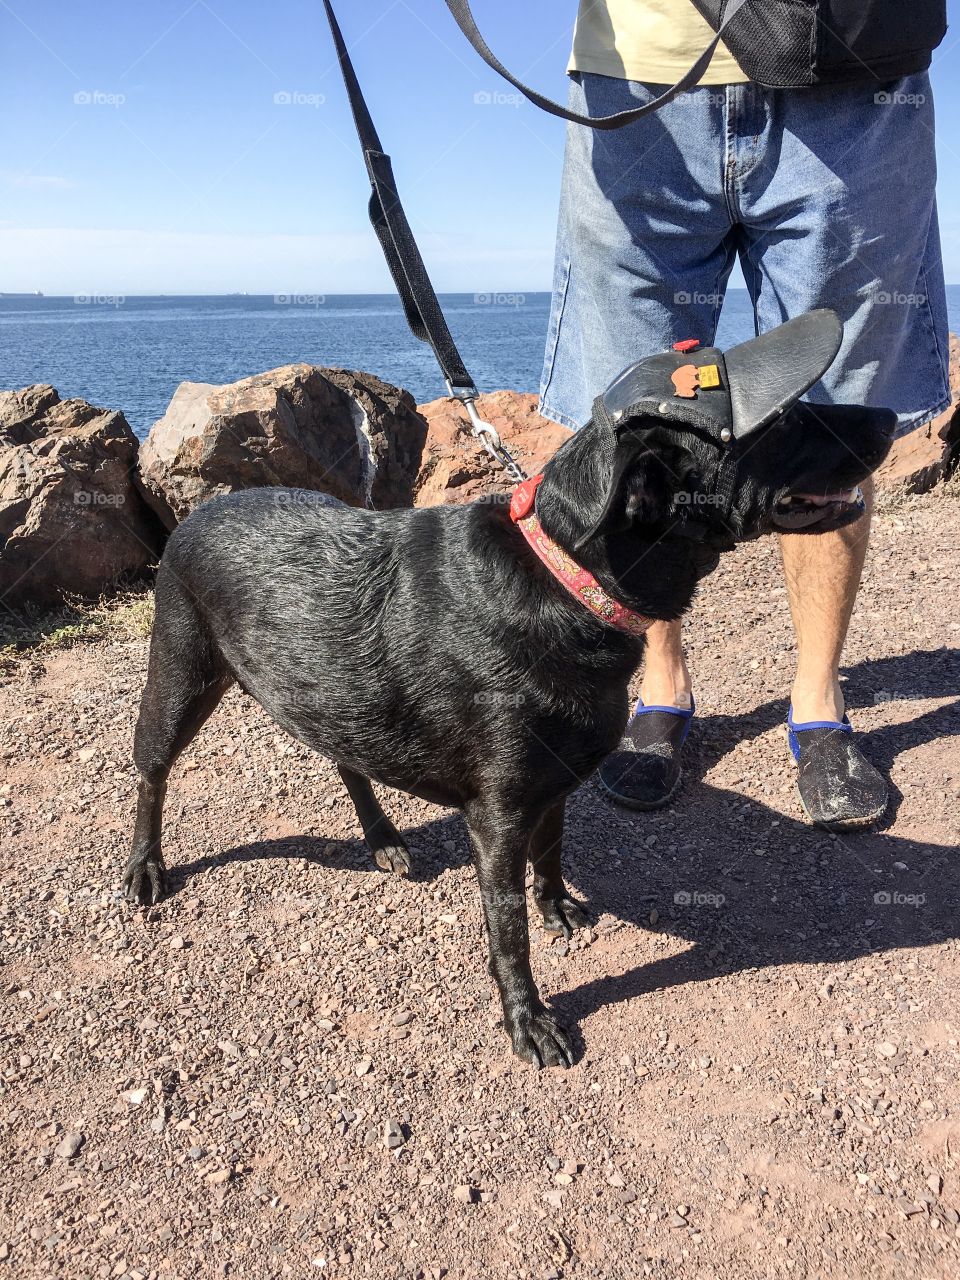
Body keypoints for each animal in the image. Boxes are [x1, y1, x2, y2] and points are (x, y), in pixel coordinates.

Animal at [126, 314, 896, 1064]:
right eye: (790, 418)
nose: (891, 413)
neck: (569, 578)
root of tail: (199, 512)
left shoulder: (552, 786)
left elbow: (550, 857)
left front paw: (557, 910)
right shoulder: (496, 819)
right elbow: (508, 930)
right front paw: (528, 1019)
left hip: (332, 694)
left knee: (348, 762)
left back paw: (383, 839)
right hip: (180, 680)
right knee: (151, 775)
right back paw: (144, 868)